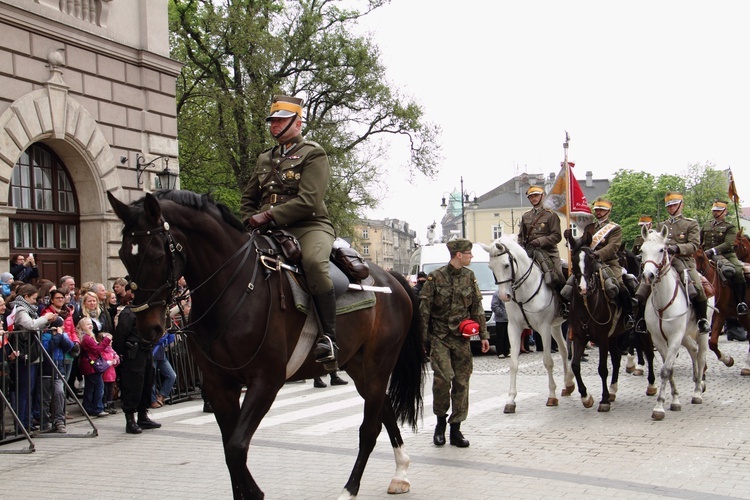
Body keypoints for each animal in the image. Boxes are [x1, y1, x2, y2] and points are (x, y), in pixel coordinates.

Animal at [482, 236, 576, 412]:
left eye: (506, 265)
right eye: (491, 267)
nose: (504, 296)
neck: (524, 291)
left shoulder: (544, 328)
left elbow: (547, 361)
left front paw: (551, 396)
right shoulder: (513, 328)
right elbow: (513, 363)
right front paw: (511, 400)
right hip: (555, 326)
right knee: (564, 350)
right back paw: (568, 384)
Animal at [640, 225, 712, 420]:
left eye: (662, 250)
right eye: (642, 250)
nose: (648, 275)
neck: (662, 301)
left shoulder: (674, 338)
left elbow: (666, 369)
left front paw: (659, 407)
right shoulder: (659, 339)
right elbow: (669, 368)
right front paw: (674, 400)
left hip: (702, 333)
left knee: (701, 356)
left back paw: (697, 391)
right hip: (685, 335)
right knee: (693, 350)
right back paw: (696, 382)